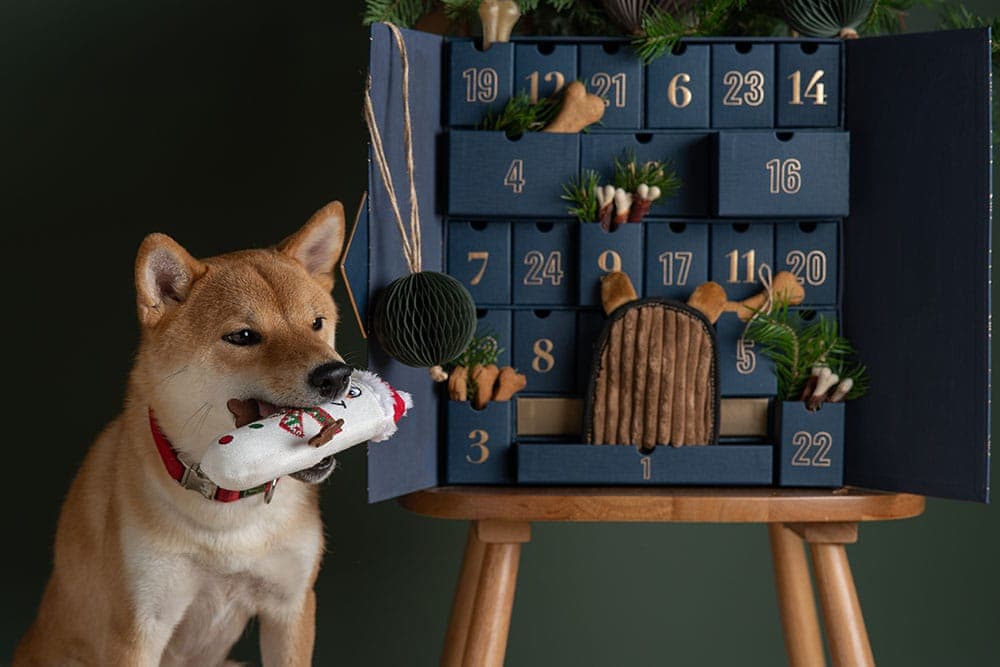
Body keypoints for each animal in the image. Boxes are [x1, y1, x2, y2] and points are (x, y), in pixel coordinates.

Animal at [14, 202, 352, 667]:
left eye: (316, 323)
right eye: (243, 336)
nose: (335, 375)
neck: (229, 509)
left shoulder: (291, 608)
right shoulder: (140, 626)